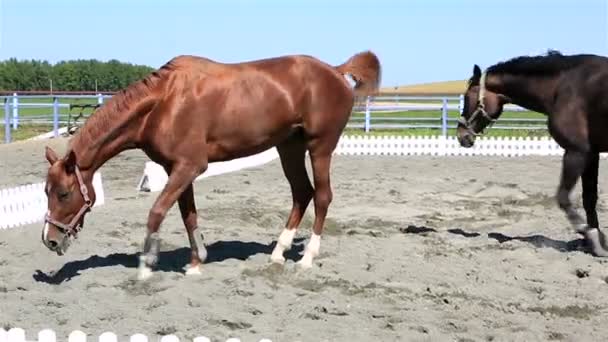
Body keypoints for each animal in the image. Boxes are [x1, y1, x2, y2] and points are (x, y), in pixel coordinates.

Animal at [41, 51, 380, 280]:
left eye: (63, 194)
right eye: (46, 192)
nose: (50, 240)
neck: (163, 102)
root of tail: (335, 71)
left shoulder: (189, 167)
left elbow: (156, 212)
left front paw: (147, 265)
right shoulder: (177, 169)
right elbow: (187, 215)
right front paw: (195, 262)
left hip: (320, 148)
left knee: (322, 196)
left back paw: (307, 257)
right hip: (289, 148)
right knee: (302, 193)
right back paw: (277, 254)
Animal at [456, 50, 608, 256]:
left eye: (467, 98)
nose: (461, 135)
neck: (563, 85)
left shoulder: (576, 152)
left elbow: (563, 198)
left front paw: (589, 234)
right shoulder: (592, 154)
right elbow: (589, 199)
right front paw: (596, 241)